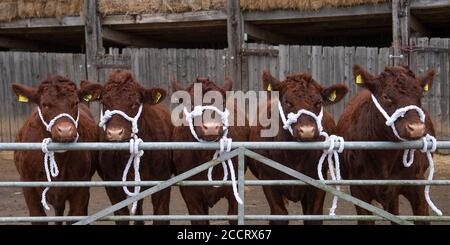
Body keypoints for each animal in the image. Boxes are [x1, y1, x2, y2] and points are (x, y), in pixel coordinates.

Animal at [11, 75, 98, 225]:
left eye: (75, 103)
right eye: (44, 104)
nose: (65, 131)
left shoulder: (81, 188)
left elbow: (75, 216)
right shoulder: (28, 186)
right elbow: (38, 217)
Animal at [80, 70, 173, 225]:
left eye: (135, 103)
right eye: (104, 103)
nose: (115, 133)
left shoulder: (162, 182)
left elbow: (160, 214)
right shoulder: (112, 184)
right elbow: (121, 214)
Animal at [248, 70, 350, 225]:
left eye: (318, 102)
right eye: (287, 102)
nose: (307, 131)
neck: (294, 156)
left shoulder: (318, 179)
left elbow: (313, 216)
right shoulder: (267, 177)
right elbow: (279, 214)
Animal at [338, 64, 436, 224]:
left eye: (420, 96)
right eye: (386, 97)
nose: (416, 128)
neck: (385, 159)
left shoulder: (418, 185)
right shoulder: (358, 191)